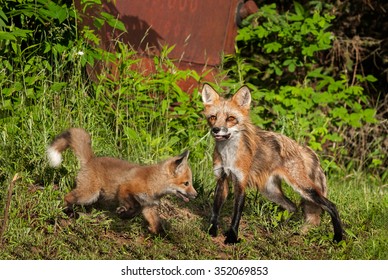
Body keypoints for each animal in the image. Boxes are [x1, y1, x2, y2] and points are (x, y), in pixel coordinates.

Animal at [46, 128, 196, 233]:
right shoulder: (125, 188)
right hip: (89, 194)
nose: (196, 195)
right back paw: (68, 212)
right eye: (186, 183)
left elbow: (156, 224)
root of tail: (91, 159)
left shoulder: (148, 206)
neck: (153, 183)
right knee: (67, 197)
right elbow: (132, 207)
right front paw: (123, 213)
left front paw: (157, 233)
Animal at [200, 84, 342, 244]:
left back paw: (338, 237)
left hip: (303, 188)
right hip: (270, 191)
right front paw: (211, 231)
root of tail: (299, 146)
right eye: (213, 117)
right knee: (293, 207)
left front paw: (232, 237)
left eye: (230, 118)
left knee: (331, 206)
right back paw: (279, 229)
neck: (228, 156)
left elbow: (236, 216)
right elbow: (215, 210)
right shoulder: (221, 178)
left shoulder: (240, 183)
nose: (215, 129)